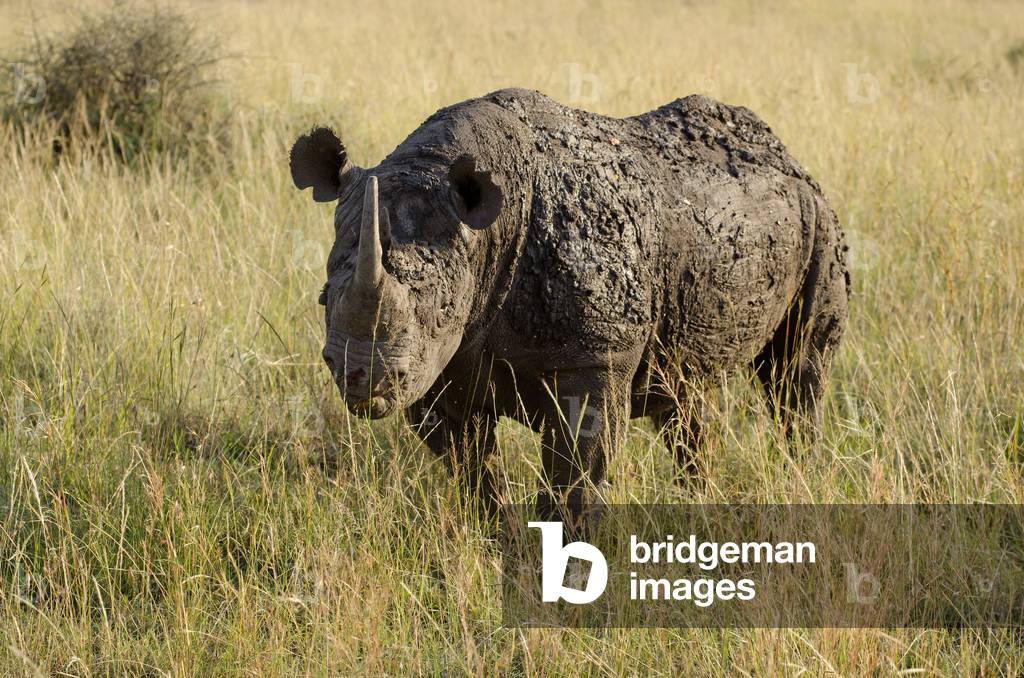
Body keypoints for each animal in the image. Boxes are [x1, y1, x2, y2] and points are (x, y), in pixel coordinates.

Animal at [290, 88, 849, 527]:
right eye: (323, 298)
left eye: (439, 308)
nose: (360, 377)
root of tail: (790, 158)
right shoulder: (441, 371)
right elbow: (475, 473)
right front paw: (502, 540)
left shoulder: (594, 358)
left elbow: (575, 476)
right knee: (680, 390)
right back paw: (702, 498)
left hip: (821, 221)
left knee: (796, 375)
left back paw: (799, 478)